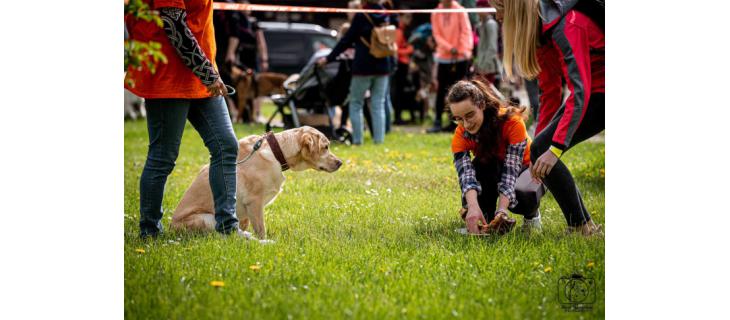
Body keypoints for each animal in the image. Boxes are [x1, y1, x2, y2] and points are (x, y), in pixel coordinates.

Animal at [171, 126, 342, 241]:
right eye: (325, 147)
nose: (340, 162)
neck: (277, 152)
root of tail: (170, 228)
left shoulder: (247, 212)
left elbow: (246, 223)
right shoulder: (254, 202)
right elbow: (261, 230)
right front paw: (263, 242)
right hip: (207, 218)